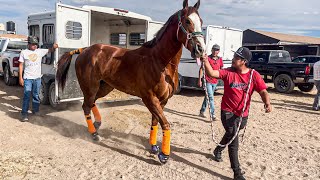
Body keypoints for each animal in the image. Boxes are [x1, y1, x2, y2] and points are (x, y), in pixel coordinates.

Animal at [56, 0, 204, 163]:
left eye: (201, 22)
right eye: (187, 21)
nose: (200, 49)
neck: (160, 62)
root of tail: (84, 50)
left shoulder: (162, 100)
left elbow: (155, 122)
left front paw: (154, 147)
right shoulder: (150, 99)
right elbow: (165, 124)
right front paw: (164, 155)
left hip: (104, 87)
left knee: (91, 102)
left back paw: (97, 124)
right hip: (90, 87)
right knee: (86, 106)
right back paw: (94, 134)